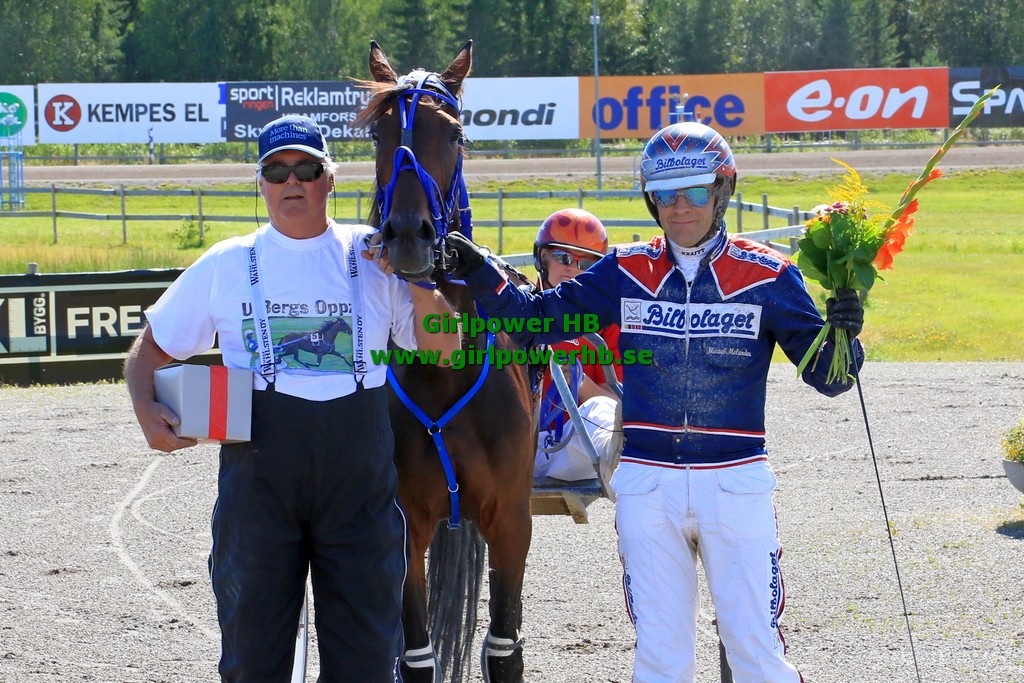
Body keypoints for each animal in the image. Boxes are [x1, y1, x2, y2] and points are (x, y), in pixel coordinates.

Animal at [355, 41, 537, 683]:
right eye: (378, 133)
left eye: (455, 134)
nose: (409, 234)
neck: (444, 369)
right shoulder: (405, 522)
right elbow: (416, 655)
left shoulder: (510, 517)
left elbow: (504, 649)